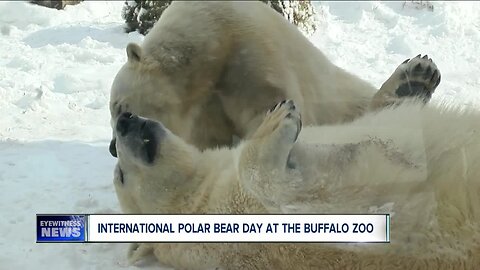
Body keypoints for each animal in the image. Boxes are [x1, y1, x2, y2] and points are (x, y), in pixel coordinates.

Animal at [110, 0, 440, 155]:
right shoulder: (203, 115)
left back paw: (413, 81)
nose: (113, 148)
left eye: (119, 107)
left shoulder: (252, 54)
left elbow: (270, 105)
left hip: (342, 91)